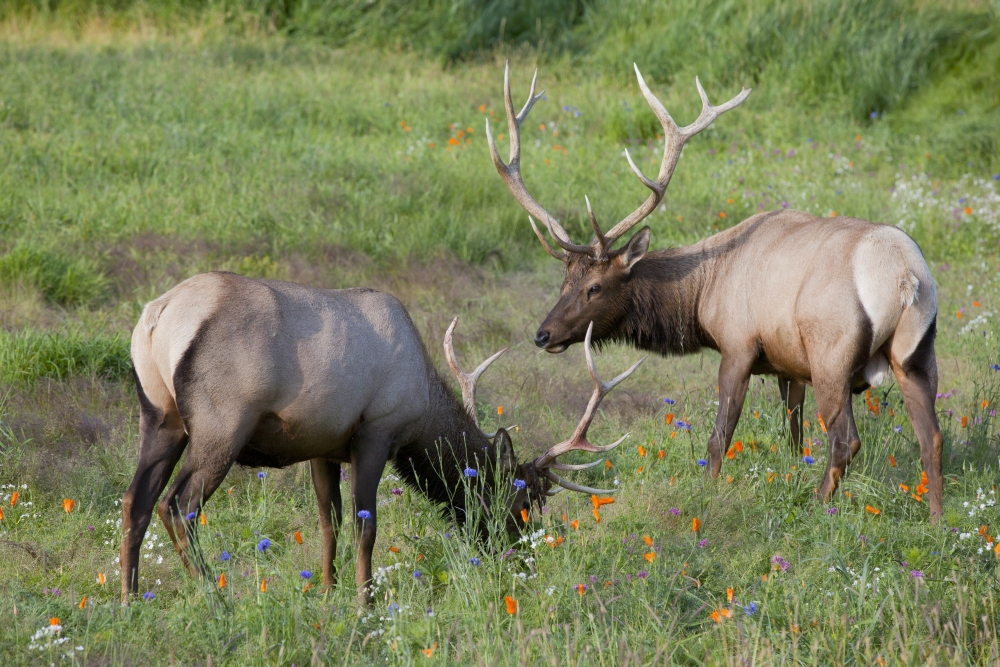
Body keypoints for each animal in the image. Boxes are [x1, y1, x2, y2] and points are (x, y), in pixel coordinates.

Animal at [122, 270, 643, 602]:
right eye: (523, 499)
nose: (523, 559)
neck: (422, 414)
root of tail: (156, 317)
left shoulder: (323, 446)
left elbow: (328, 521)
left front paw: (328, 593)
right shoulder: (376, 432)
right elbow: (366, 526)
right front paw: (363, 603)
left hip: (160, 416)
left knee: (136, 500)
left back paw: (128, 601)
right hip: (221, 424)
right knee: (178, 505)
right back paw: (213, 594)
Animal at [486, 63, 943, 521]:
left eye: (594, 287)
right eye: (564, 282)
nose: (542, 334)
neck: (703, 296)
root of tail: (905, 276)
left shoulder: (739, 346)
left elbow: (719, 437)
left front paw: (707, 493)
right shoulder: (789, 363)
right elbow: (793, 433)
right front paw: (792, 471)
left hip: (833, 355)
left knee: (845, 439)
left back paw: (818, 506)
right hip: (916, 353)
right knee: (931, 437)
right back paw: (938, 518)